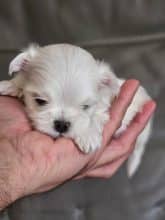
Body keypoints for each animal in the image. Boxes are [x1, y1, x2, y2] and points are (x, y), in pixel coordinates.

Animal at [0, 43, 152, 176]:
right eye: (40, 101)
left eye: (85, 107)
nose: (61, 124)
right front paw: (10, 86)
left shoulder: (102, 109)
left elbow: (95, 118)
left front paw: (87, 136)